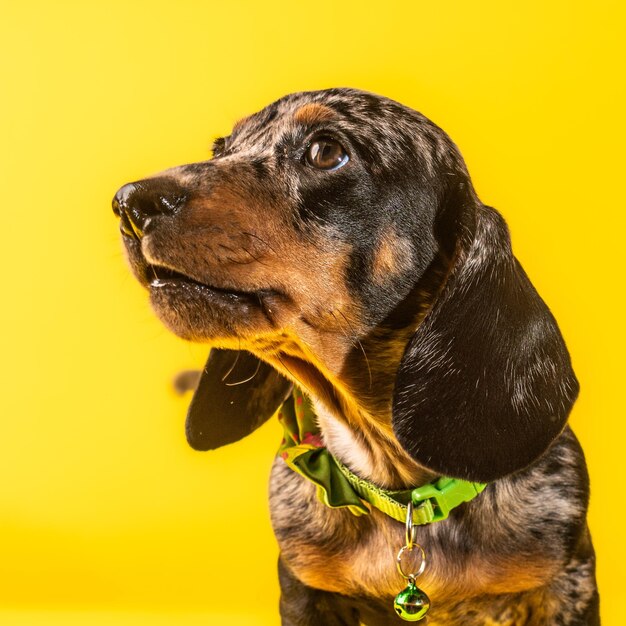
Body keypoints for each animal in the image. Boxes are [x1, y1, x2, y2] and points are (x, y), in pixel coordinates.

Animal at [113, 89, 600, 624]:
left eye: (326, 152)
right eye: (221, 149)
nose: (128, 202)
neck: (401, 485)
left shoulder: (566, 581)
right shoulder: (305, 586)